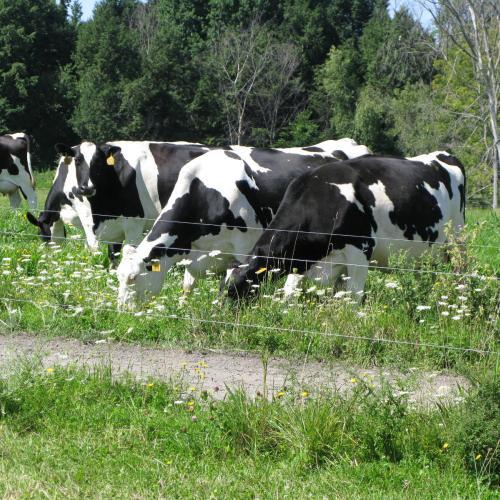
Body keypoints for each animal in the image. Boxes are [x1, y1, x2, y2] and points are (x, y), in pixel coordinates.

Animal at [116, 139, 372, 306]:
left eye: (133, 278)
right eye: (118, 276)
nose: (122, 311)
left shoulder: (244, 246)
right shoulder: (195, 252)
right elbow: (188, 287)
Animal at [223, 152, 464, 300]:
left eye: (236, 289)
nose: (223, 315)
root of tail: (442, 155)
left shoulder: (360, 250)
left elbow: (353, 297)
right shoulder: (302, 260)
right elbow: (290, 292)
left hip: (456, 241)